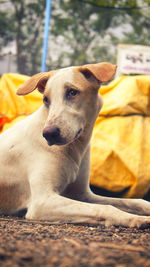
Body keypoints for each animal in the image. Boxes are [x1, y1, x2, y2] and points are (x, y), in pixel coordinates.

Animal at [0, 62, 150, 228]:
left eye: (72, 92)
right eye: (46, 100)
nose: (49, 134)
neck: (75, 147)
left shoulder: (83, 195)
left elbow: (135, 201)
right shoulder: (42, 202)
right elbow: (105, 208)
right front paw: (136, 219)